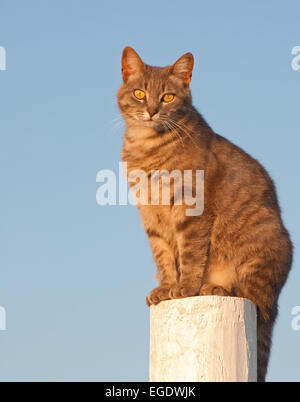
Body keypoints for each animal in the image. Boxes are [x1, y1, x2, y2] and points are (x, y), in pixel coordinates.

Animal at [117, 45, 292, 382]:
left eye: (168, 97)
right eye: (139, 93)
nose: (152, 111)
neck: (148, 148)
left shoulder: (191, 210)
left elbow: (191, 254)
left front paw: (185, 288)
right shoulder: (152, 218)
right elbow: (164, 259)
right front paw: (166, 288)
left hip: (261, 241)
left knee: (256, 298)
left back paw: (217, 287)